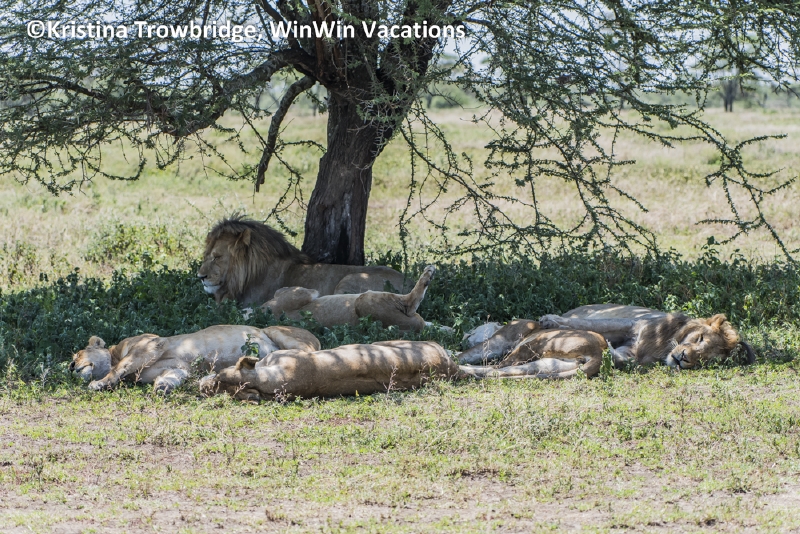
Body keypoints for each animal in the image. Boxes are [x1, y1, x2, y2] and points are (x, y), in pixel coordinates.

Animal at [70, 325, 320, 394]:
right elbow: (173, 375)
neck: (113, 355)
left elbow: (120, 368)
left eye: (78, 354)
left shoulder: (151, 344)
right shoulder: (179, 367)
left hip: (278, 332)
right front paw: (163, 387)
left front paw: (99, 383)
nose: (71, 367)